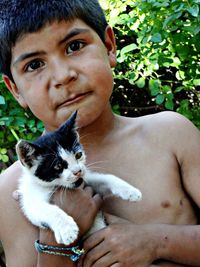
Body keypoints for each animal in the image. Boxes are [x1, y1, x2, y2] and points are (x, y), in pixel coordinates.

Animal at [16, 111, 142, 247]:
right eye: (58, 166)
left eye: (78, 155)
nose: (78, 171)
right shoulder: (31, 200)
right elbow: (48, 210)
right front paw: (67, 230)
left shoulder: (87, 179)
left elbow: (105, 178)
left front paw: (131, 191)